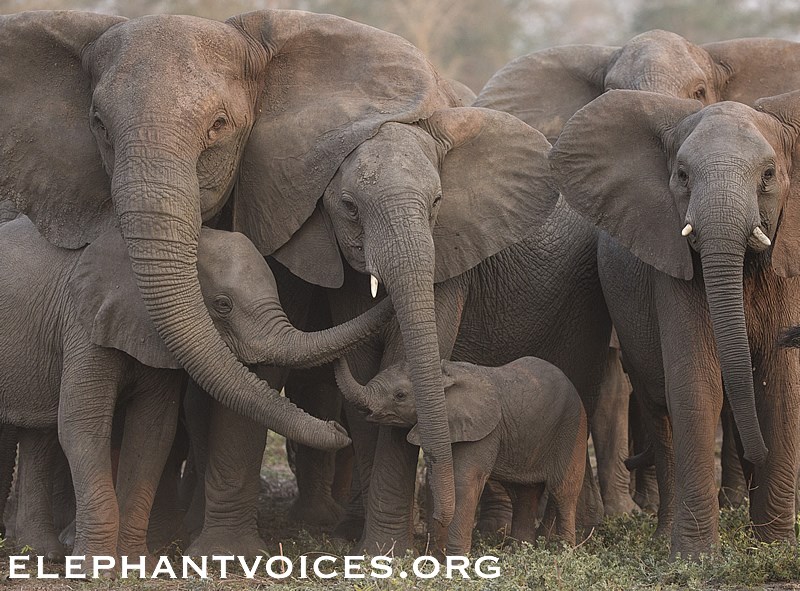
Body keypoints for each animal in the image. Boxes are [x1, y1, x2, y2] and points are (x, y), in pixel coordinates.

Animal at [0, 216, 390, 564]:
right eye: (222, 305)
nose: (339, 428)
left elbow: (152, 434)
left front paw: (135, 566)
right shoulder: (83, 327)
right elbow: (83, 428)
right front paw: (97, 570)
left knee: (37, 436)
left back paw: (42, 553)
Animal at [334, 356, 584, 556]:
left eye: (400, 395)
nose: (340, 429)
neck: (445, 376)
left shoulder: (483, 432)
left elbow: (464, 481)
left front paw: (455, 564)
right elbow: (441, 480)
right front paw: (438, 558)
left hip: (572, 427)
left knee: (563, 490)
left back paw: (563, 553)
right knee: (524, 494)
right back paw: (519, 553)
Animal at [552, 89, 800, 560]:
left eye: (768, 174)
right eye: (682, 176)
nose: (755, 454)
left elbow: (780, 387)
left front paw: (775, 548)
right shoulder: (671, 267)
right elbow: (696, 383)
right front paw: (696, 560)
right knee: (659, 407)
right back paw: (664, 535)